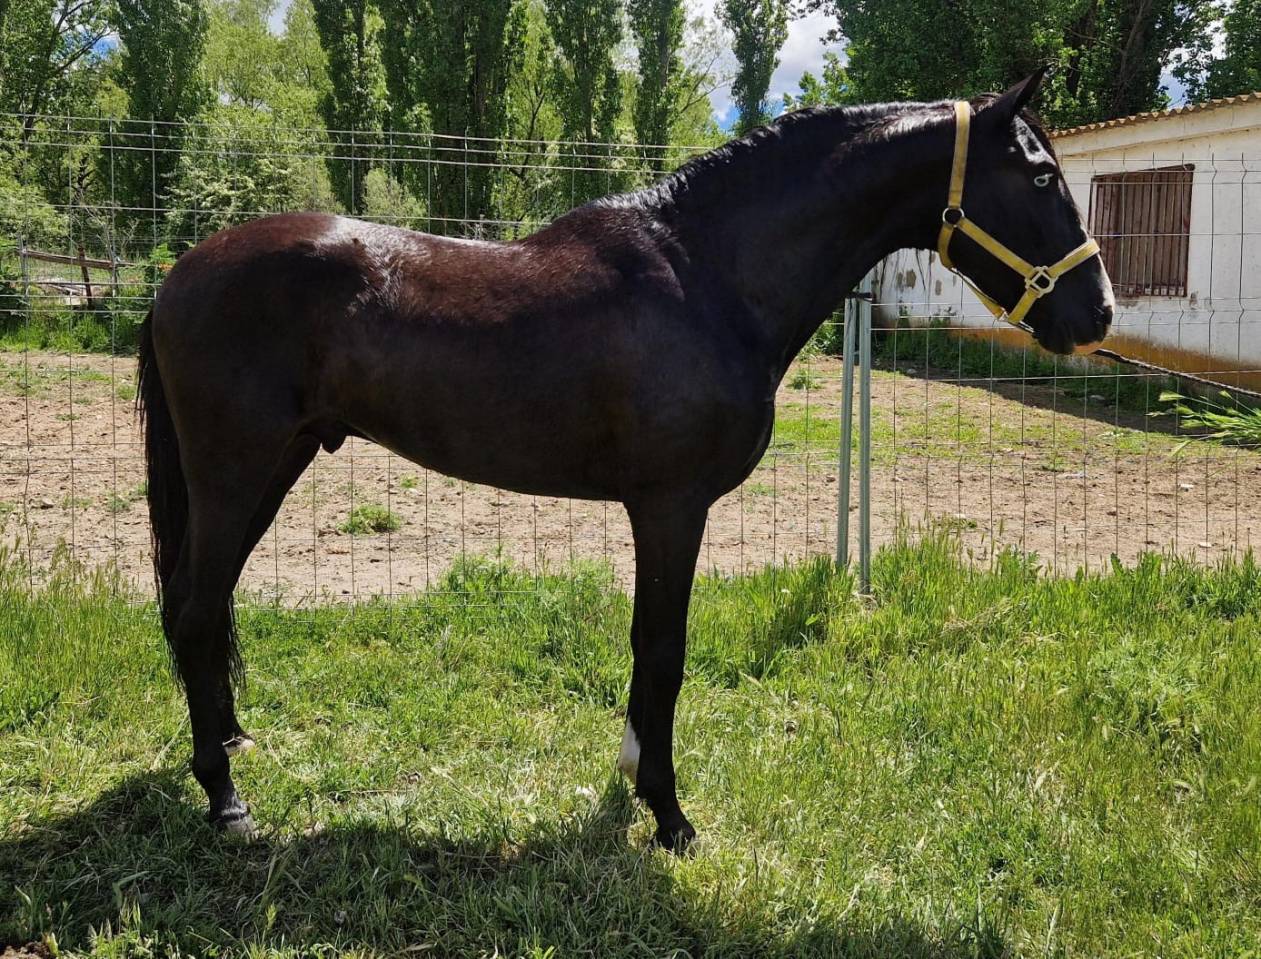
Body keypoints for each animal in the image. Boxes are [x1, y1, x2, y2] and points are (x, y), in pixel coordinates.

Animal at [138, 68, 1113, 852]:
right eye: (1039, 173)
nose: (1095, 312)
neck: (708, 275)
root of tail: (180, 272)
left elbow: (652, 649)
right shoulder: (671, 505)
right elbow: (663, 647)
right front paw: (668, 812)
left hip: (274, 467)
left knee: (205, 608)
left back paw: (232, 744)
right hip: (233, 472)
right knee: (193, 609)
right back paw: (226, 800)